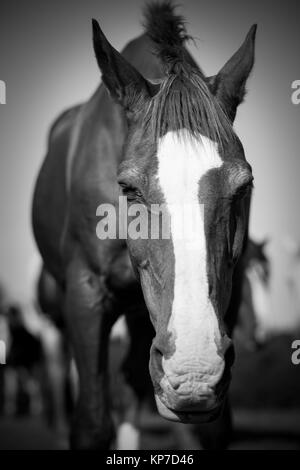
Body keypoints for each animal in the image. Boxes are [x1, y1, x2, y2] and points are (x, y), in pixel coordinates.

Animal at [31, 1, 256, 450]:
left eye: (244, 186)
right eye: (128, 188)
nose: (194, 373)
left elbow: (211, 430)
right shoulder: (85, 292)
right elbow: (92, 423)